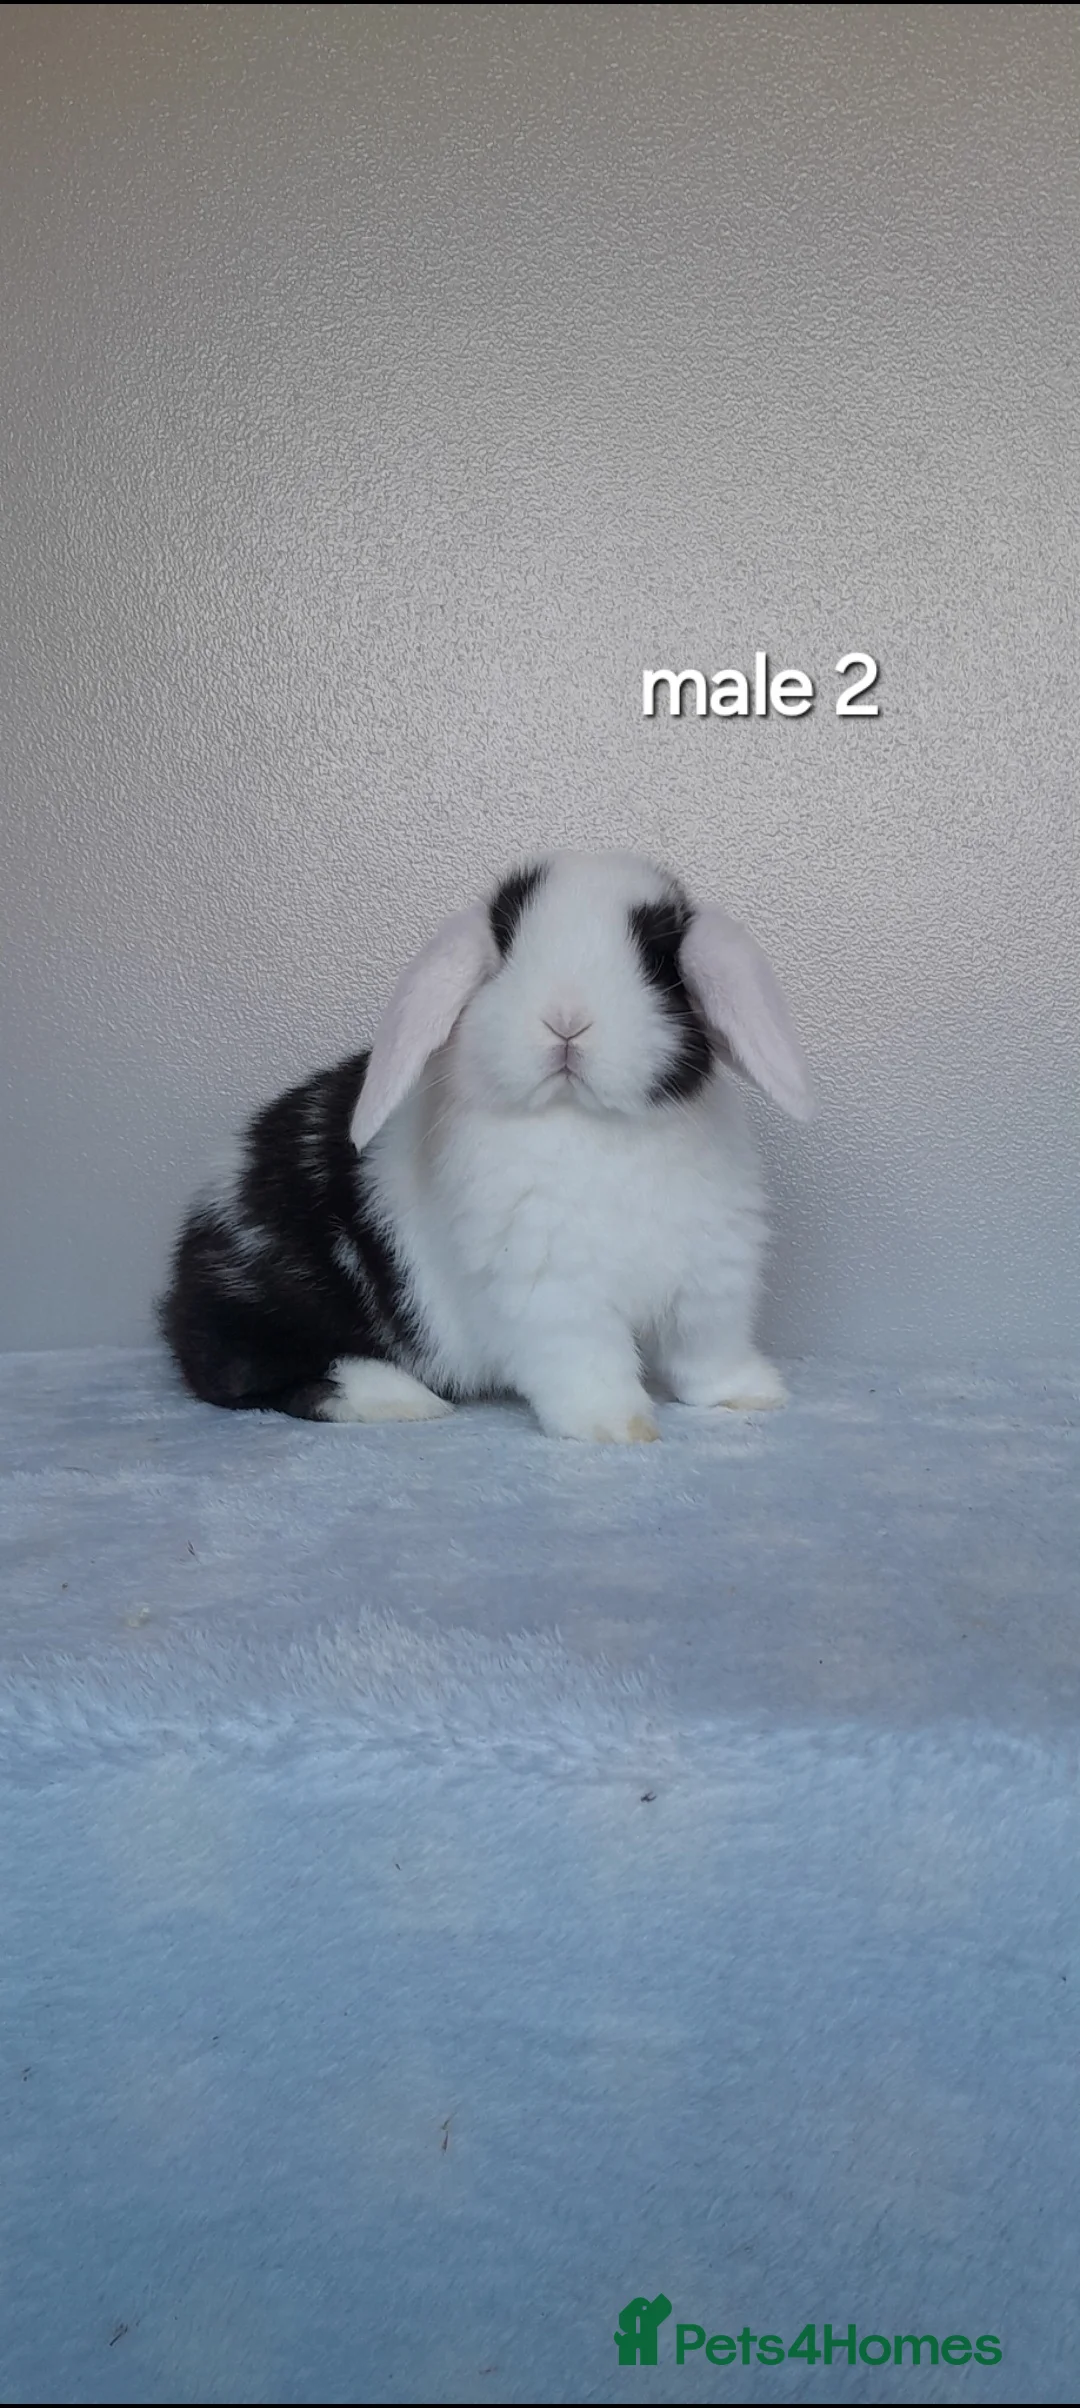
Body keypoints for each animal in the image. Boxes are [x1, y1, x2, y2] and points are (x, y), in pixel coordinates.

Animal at [159, 849, 813, 1441]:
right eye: (505, 952)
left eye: (658, 961)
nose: (566, 1019)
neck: (589, 1123)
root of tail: (182, 1280)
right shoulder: (552, 1292)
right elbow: (588, 1364)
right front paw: (617, 1427)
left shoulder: (711, 1281)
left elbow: (706, 1354)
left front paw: (751, 1395)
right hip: (276, 1303)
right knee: (253, 1373)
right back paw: (399, 1399)